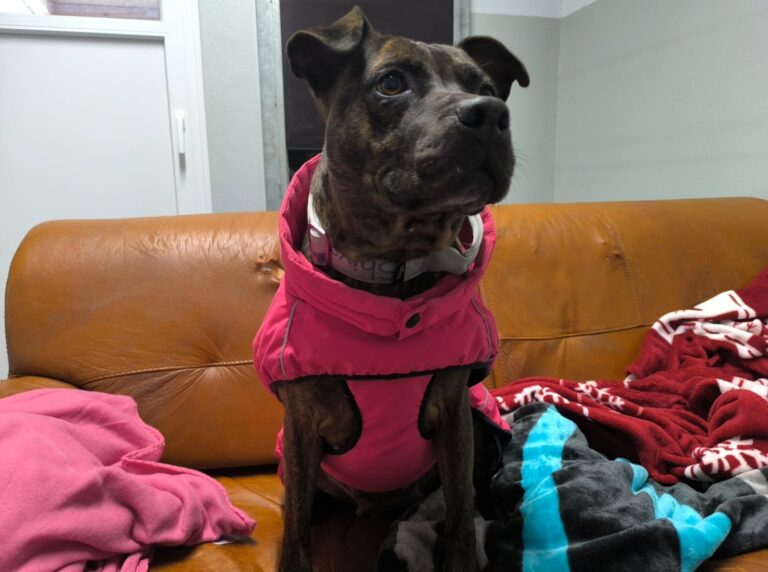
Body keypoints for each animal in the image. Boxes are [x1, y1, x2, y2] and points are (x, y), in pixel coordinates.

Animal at [253, 6, 529, 571]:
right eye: (392, 83)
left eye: (486, 87)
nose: (491, 113)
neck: (391, 273)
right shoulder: (301, 426)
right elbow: (294, 531)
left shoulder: (455, 413)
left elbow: (462, 513)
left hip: (479, 423)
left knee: (480, 488)